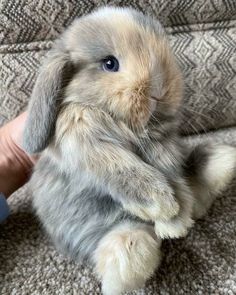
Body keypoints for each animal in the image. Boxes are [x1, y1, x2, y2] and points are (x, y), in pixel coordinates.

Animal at [22, 5, 236, 294]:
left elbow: (176, 182)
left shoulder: (164, 151)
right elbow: (131, 173)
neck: (129, 125)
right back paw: (124, 271)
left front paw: (176, 224)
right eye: (109, 64)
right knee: (127, 241)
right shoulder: (87, 141)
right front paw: (166, 208)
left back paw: (221, 163)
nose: (160, 90)